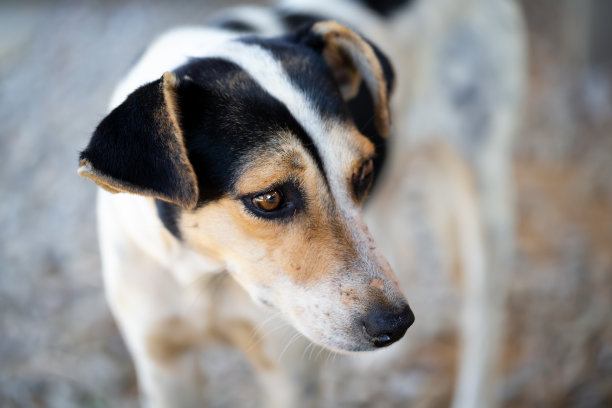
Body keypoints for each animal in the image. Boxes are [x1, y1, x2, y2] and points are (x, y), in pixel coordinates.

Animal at [77, 0, 524, 408]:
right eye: (268, 198)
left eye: (362, 171)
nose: (397, 325)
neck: (204, 270)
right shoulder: (163, 363)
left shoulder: (291, 376)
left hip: (480, 192)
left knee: (485, 315)